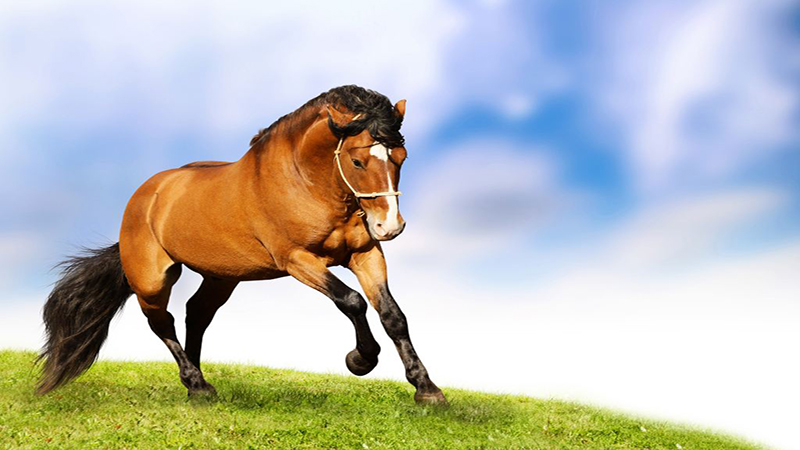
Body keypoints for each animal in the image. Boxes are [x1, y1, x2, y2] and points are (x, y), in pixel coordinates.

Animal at [37, 85, 447, 405]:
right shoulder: (297, 260)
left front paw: (427, 390)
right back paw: (197, 384)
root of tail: (145, 197)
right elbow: (352, 301)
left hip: (221, 276)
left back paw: (197, 385)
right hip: (152, 280)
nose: (390, 226)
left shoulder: (365, 254)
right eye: (359, 160)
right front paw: (360, 360)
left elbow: (392, 315)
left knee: (196, 314)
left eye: (401, 157)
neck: (305, 182)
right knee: (162, 322)